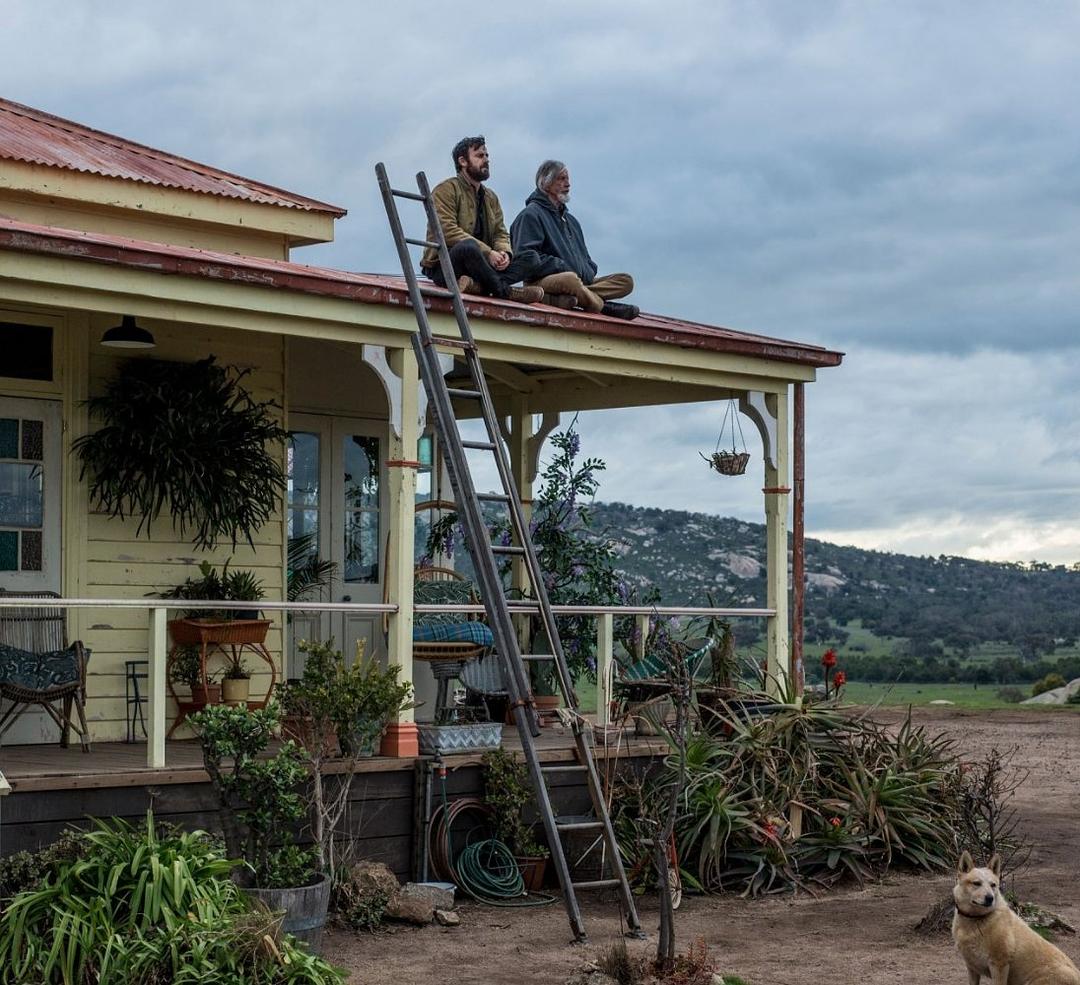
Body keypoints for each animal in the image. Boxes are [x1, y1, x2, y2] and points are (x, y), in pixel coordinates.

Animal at [954, 851, 1080, 980]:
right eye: (976, 883)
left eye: (993, 885)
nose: (990, 898)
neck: (976, 919)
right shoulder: (971, 967)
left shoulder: (999, 965)